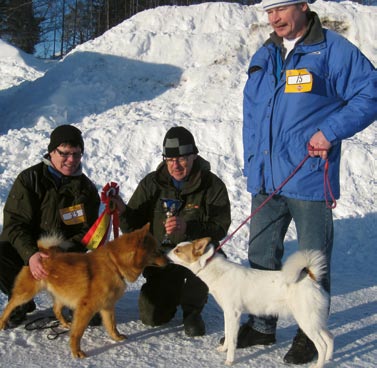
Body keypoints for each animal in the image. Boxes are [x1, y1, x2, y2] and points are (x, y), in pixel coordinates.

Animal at [0, 223, 167, 358]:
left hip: (62, 295)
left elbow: (112, 325)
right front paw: (76, 351)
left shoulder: (107, 306)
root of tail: (42, 251)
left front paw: (116, 337)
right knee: (11, 304)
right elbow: (78, 333)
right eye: (157, 251)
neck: (114, 264)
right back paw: (3, 323)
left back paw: (65, 323)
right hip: (26, 293)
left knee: (56, 309)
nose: (169, 261)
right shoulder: (86, 309)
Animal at [167, 237, 332, 366]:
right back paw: (328, 359)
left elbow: (233, 340)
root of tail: (311, 278)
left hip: (306, 321)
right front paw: (224, 349)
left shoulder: (234, 314)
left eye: (177, 250)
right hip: (315, 321)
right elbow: (228, 335)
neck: (214, 269)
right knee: (330, 338)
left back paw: (318, 365)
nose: (165, 251)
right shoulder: (228, 314)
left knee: (322, 345)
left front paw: (230, 360)